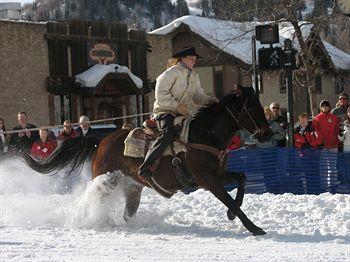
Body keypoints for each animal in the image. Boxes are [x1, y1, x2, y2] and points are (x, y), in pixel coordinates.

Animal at [26, 86, 274, 235]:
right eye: (252, 107)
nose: (267, 134)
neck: (205, 134)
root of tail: (101, 141)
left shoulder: (219, 175)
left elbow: (242, 179)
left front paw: (233, 214)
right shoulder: (207, 180)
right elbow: (230, 200)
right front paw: (253, 227)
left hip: (133, 188)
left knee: (128, 214)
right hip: (107, 181)